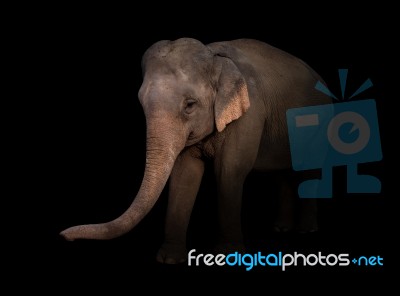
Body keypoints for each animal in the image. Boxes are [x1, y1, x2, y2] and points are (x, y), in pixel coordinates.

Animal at [60, 37, 332, 264]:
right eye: (141, 103)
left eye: (190, 105)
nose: (64, 236)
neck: (215, 58)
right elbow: (184, 174)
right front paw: (170, 259)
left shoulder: (250, 114)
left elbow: (230, 172)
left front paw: (228, 256)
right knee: (279, 174)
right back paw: (282, 229)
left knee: (310, 170)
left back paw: (306, 230)